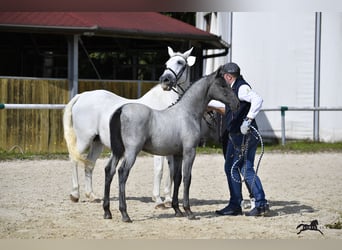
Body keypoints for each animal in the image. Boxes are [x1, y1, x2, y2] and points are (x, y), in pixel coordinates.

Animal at [62, 47, 195, 205]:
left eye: (180, 62)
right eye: (166, 63)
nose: (165, 81)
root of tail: (81, 96)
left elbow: (172, 171)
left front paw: (168, 199)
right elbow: (160, 170)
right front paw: (158, 200)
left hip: (97, 142)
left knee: (89, 164)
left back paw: (91, 195)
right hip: (84, 139)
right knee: (74, 158)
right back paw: (75, 194)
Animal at [103, 65, 239, 222]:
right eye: (222, 85)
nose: (237, 104)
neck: (187, 113)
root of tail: (121, 109)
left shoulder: (177, 154)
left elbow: (177, 178)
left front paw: (177, 210)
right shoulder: (189, 152)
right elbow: (187, 178)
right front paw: (189, 211)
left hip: (117, 151)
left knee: (109, 170)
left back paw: (107, 212)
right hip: (131, 152)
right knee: (122, 172)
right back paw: (125, 214)